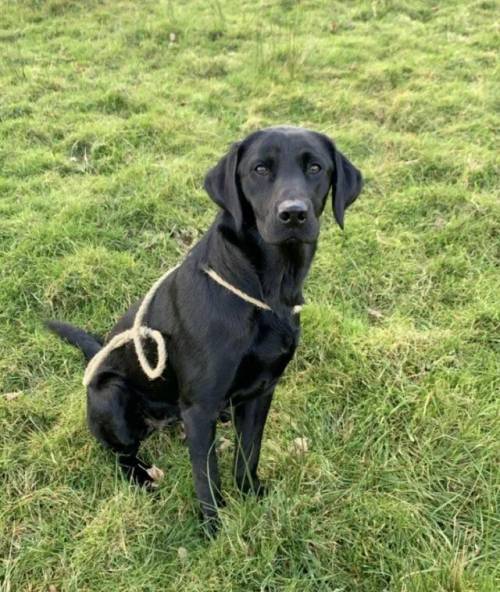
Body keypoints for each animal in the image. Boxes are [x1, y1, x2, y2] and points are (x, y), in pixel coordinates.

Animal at [47, 125, 364, 532]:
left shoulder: (262, 391)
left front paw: (251, 495)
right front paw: (214, 529)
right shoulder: (198, 408)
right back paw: (142, 478)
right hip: (110, 396)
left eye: (315, 167)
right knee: (121, 454)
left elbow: (249, 452)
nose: (293, 214)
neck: (263, 290)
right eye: (260, 169)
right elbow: (206, 475)